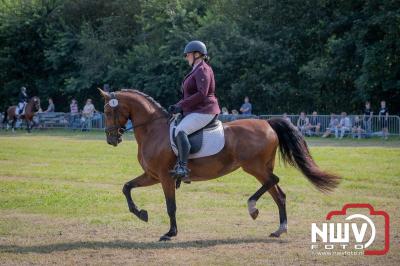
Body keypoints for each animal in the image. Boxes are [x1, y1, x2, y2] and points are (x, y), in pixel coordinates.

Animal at [100, 89, 340, 241]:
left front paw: (170, 233)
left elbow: (171, 206)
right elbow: (126, 187)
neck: (153, 130)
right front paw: (141, 213)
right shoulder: (152, 175)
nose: (111, 139)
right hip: (262, 168)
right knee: (278, 194)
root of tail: (267, 122)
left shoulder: (166, 177)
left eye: (108, 112)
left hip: (255, 167)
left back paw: (252, 206)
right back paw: (279, 229)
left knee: (274, 181)